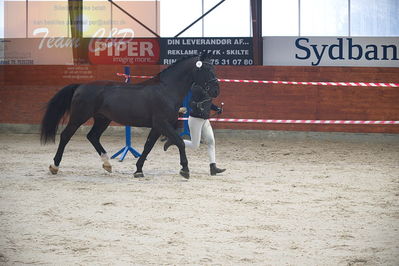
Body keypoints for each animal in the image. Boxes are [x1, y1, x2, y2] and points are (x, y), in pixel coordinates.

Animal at [40, 53, 220, 179]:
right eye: (206, 69)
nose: (216, 90)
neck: (166, 90)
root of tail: (81, 86)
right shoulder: (162, 124)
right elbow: (180, 142)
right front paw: (185, 169)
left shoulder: (157, 127)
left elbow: (148, 147)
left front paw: (138, 170)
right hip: (79, 117)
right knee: (65, 136)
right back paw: (55, 166)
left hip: (102, 119)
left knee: (93, 136)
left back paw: (107, 164)